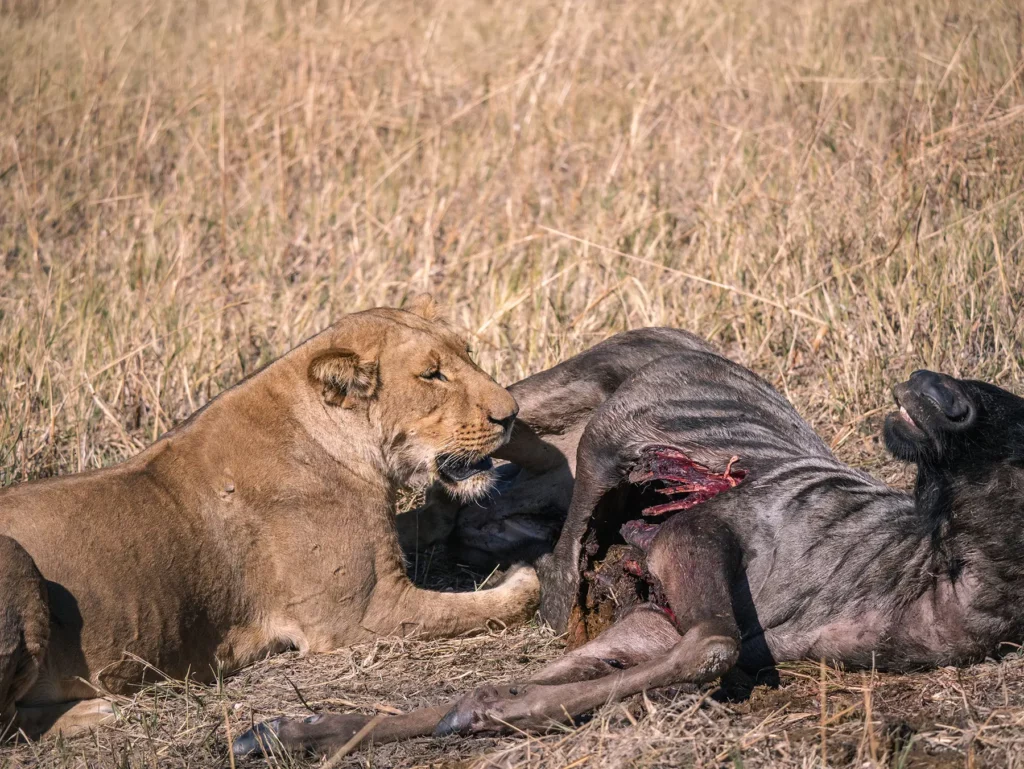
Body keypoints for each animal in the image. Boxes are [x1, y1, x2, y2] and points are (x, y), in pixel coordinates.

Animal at [0, 299, 539, 738]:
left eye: (466, 353)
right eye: (431, 375)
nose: (512, 413)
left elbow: (425, 525)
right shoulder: (363, 615)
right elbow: (486, 606)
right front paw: (522, 575)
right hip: (16, 562)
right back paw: (97, 712)